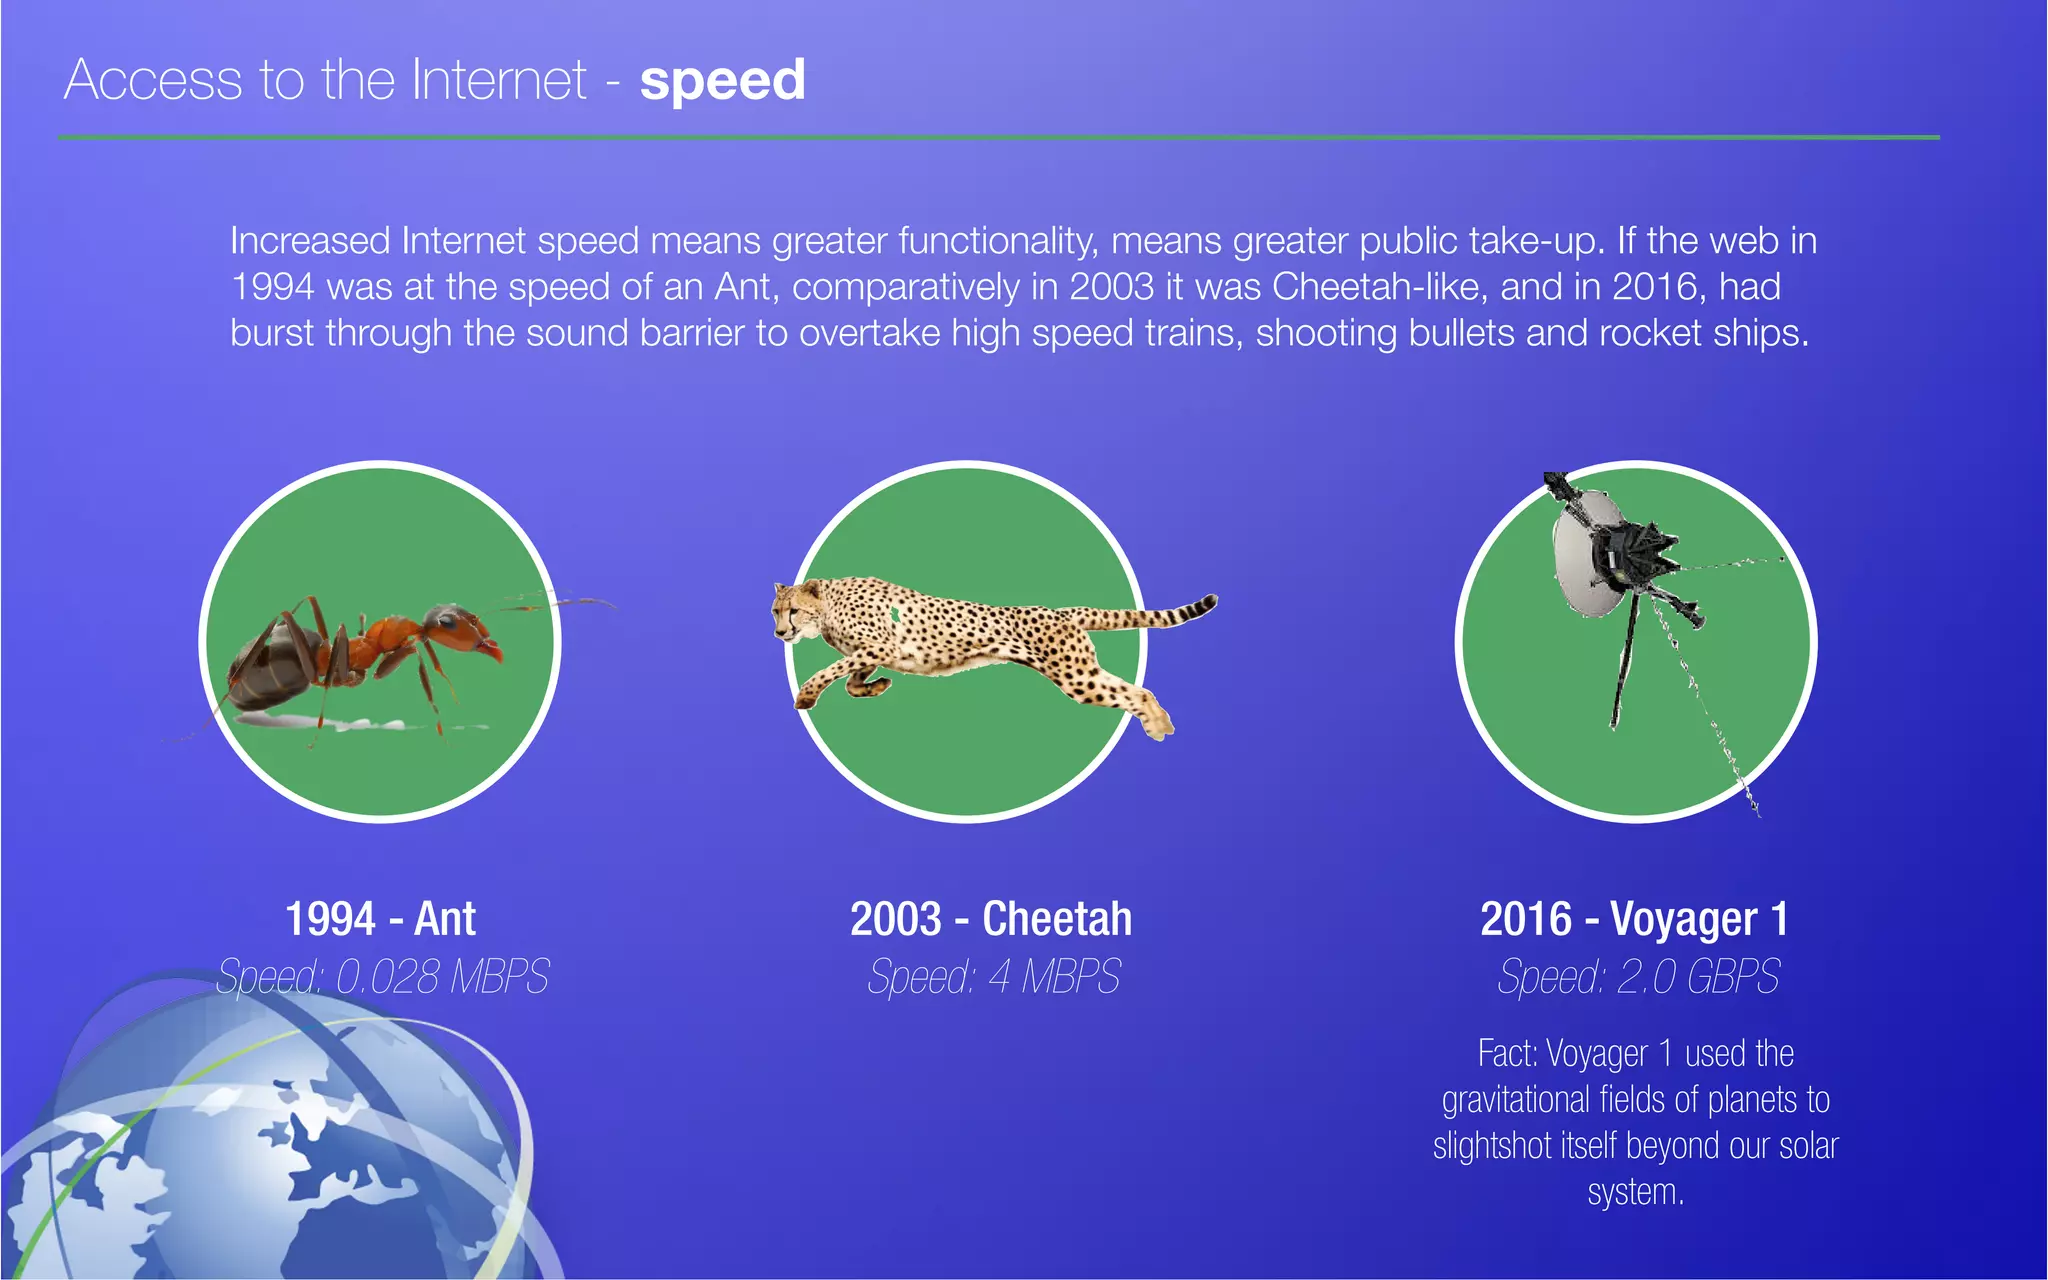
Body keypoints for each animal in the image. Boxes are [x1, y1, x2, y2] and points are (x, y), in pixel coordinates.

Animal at [771, 577, 1218, 741]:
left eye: (792, 611)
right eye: (775, 611)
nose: (779, 633)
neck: (827, 604)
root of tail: (1060, 611)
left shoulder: (881, 646)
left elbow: (833, 670)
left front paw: (806, 694)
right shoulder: (871, 652)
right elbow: (850, 679)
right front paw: (878, 685)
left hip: (1076, 676)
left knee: (1135, 692)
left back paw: (1157, 725)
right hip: (1080, 672)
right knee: (1134, 690)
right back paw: (1160, 722)